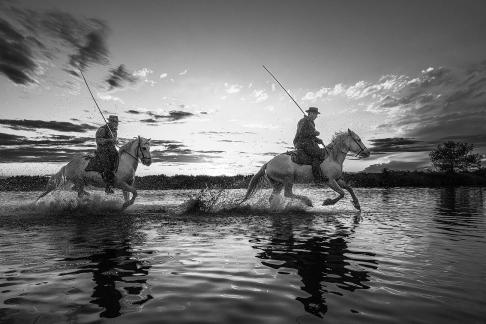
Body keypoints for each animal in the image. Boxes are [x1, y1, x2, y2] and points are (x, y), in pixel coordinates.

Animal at [241, 129, 370, 210]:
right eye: (358, 139)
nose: (368, 152)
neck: (333, 158)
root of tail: (268, 163)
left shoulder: (338, 180)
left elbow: (349, 188)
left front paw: (357, 205)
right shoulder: (330, 181)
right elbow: (342, 193)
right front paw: (327, 202)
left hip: (278, 183)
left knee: (273, 198)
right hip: (288, 179)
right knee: (288, 193)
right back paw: (308, 202)